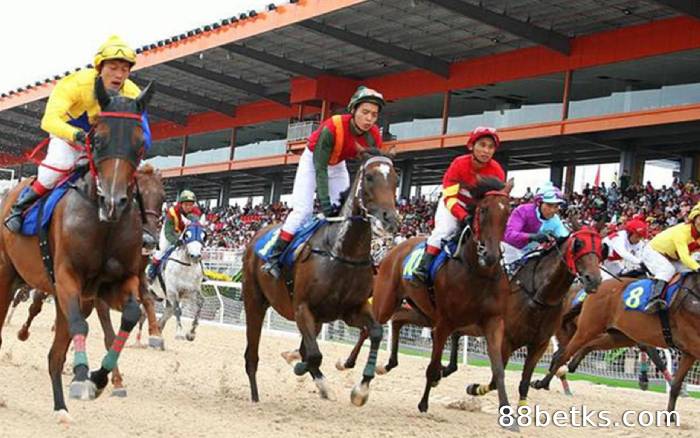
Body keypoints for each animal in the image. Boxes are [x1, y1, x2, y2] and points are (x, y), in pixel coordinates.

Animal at [0, 79, 154, 420]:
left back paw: (60, 408)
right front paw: (84, 377)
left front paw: (98, 378)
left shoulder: (112, 284)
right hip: (7, 276)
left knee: (55, 355)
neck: (103, 223)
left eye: (140, 143)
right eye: (97, 139)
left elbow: (130, 314)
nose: (113, 202)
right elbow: (81, 325)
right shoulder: (67, 276)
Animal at [243, 152, 400, 406]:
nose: (391, 219)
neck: (343, 253)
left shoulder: (351, 310)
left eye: (396, 180)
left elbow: (375, 332)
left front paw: (361, 389)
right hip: (254, 301)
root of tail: (257, 234)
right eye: (369, 177)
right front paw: (299, 364)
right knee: (252, 354)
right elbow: (314, 354)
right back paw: (256, 396)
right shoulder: (302, 308)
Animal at [532, 274, 700, 418]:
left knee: (584, 347)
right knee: (562, 355)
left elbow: (676, 383)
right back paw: (543, 382)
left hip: (618, 335)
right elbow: (655, 356)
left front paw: (670, 415)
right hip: (586, 329)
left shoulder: (689, 351)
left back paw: (565, 371)